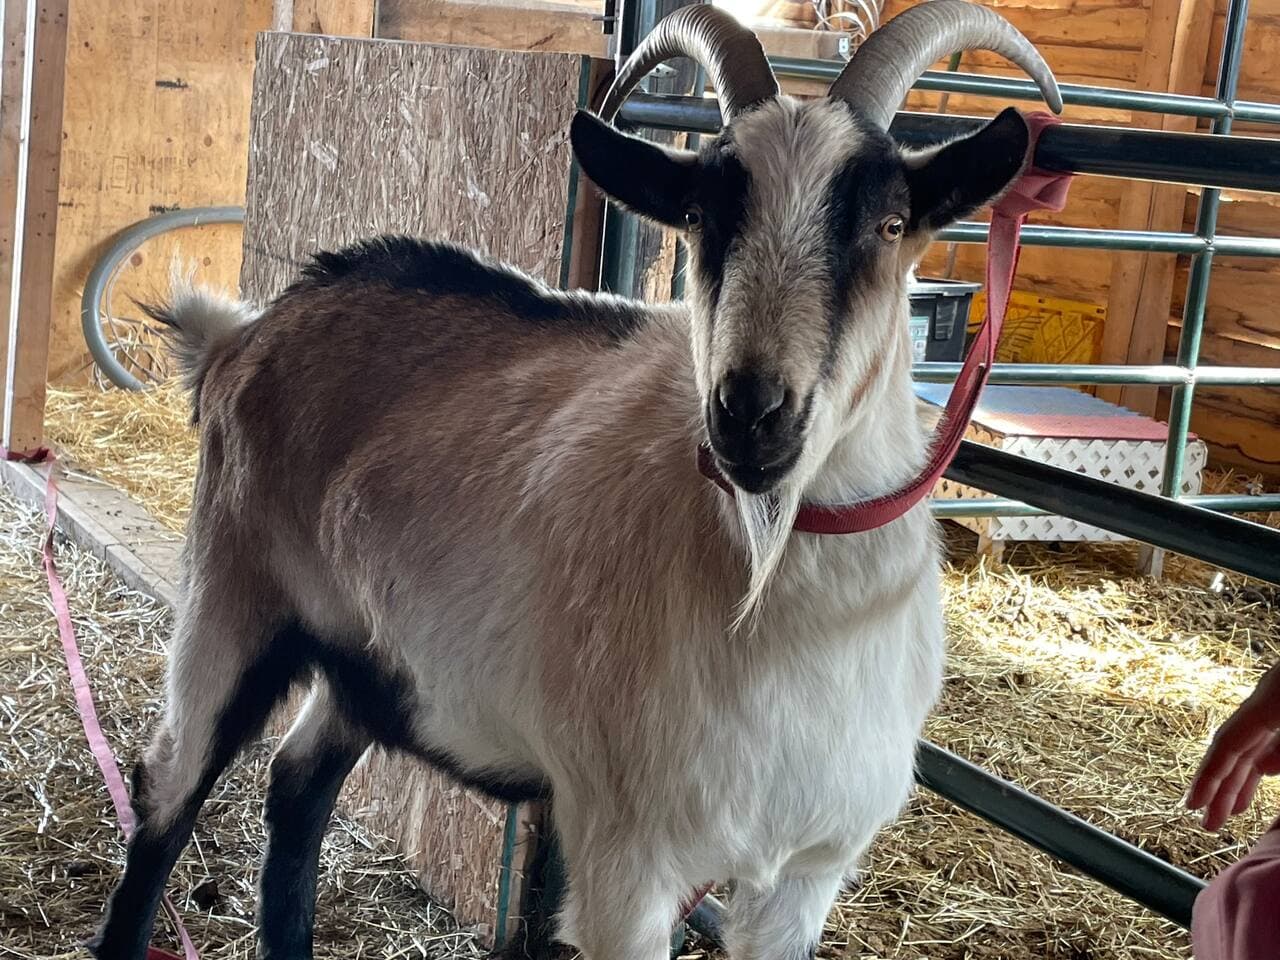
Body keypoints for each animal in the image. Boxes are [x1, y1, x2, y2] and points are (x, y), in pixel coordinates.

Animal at [90, 4, 1060, 958]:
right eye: (700, 215)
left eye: (891, 223)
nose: (751, 413)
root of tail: (245, 333)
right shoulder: (625, 862)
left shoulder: (806, 873)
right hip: (232, 593)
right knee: (168, 785)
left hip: (374, 655)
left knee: (297, 784)